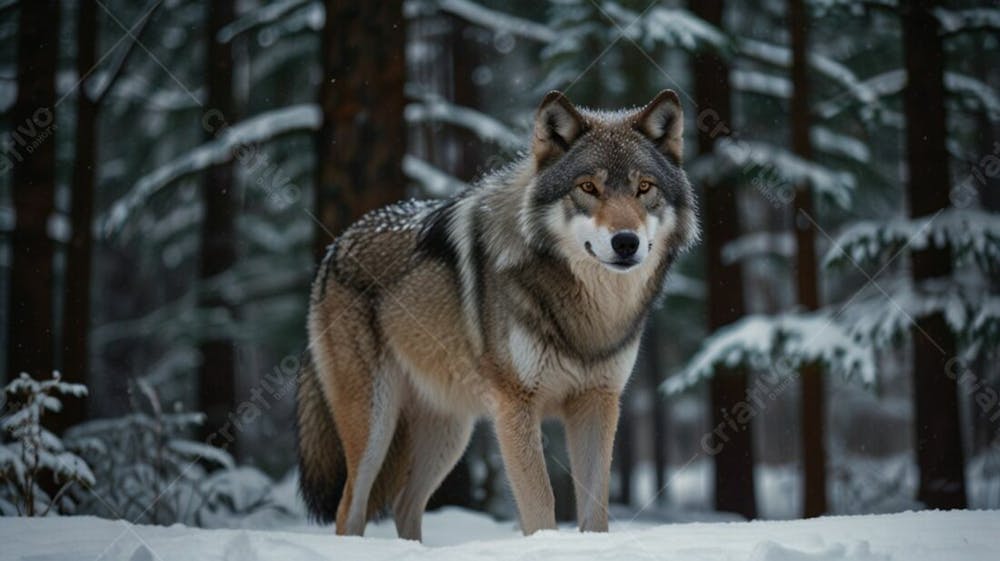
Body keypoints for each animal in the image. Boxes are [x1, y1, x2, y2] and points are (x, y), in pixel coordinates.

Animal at [294, 89, 696, 540]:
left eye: (644, 187)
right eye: (588, 187)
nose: (626, 242)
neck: (589, 315)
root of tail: (335, 247)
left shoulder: (597, 401)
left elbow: (595, 513)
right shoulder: (515, 405)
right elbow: (540, 505)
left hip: (450, 432)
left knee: (404, 505)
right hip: (375, 424)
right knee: (351, 509)